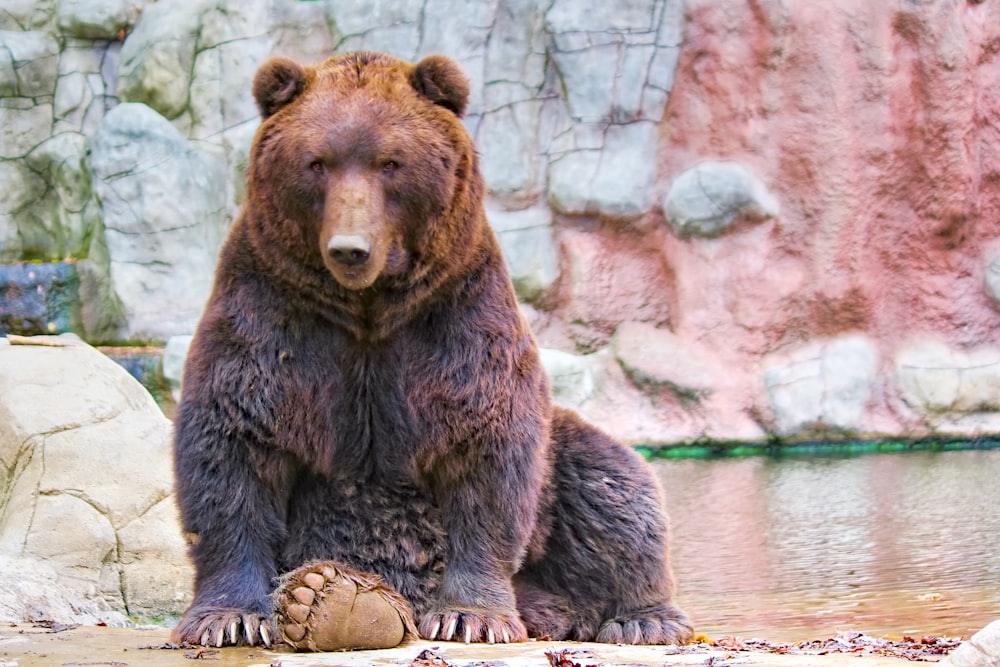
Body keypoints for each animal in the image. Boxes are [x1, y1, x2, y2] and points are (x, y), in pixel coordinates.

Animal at [170, 52, 688, 652]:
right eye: (317, 162)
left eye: (390, 162)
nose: (350, 248)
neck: (368, 310)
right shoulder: (273, 315)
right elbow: (234, 444)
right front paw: (229, 618)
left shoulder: (454, 319)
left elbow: (485, 449)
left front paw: (472, 616)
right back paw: (332, 599)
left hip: (560, 463)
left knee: (608, 483)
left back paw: (642, 618)